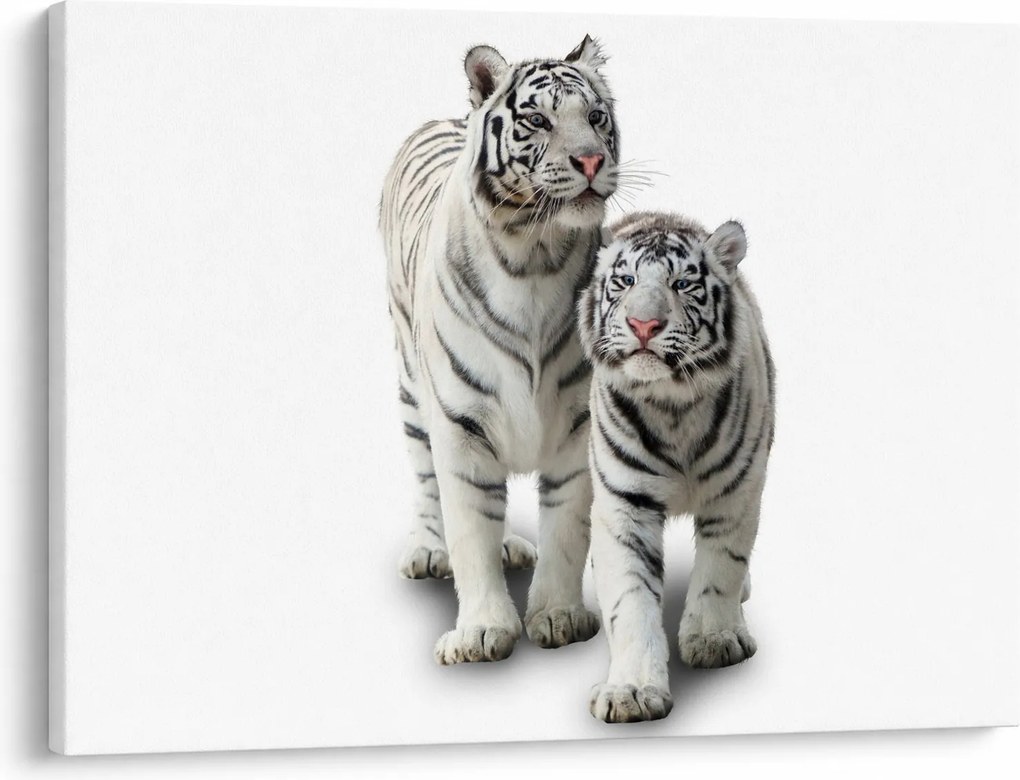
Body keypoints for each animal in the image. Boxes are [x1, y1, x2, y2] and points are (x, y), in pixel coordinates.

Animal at [378, 36, 620, 665]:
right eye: (537, 120)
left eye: (595, 117)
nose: (592, 162)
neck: (535, 252)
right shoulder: (460, 426)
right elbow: (469, 532)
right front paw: (483, 631)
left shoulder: (577, 424)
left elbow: (566, 528)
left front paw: (558, 615)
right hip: (411, 388)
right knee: (426, 479)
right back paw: (427, 550)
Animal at [576, 212, 776, 722]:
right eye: (625, 281)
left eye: (683, 283)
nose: (643, 324)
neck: (672, 406)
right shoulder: (624, 505)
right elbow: (629, 598)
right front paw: (629, 691)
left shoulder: (737, 493)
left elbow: (721, 569)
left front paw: (714, 639)